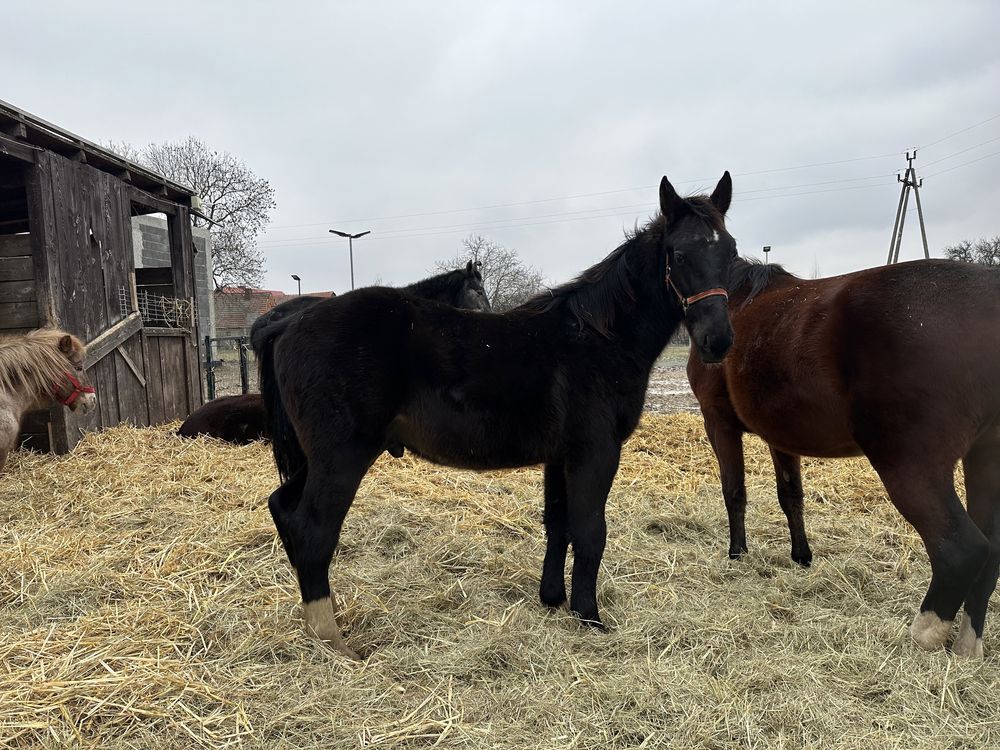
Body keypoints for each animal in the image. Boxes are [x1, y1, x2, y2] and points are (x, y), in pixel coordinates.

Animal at [262, 175, 740, 656]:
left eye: (732, 253)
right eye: (679, 255)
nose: (717, 341)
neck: (597, 339)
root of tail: (290, 323)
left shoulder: (560, 457)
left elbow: (559, 525)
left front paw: (553, 599)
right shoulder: (595, 453)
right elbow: (590, 532)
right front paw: (589, 616)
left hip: (320, 458)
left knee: (283, 508)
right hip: (342, 457)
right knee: (313, 529)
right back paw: (331, 639)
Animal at [688, 262, 1000, 660]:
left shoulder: (718, 422)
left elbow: (734, 493)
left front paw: (737, 554)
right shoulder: (782, 437)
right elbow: (791, 497)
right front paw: (801, 557)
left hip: (912, 467)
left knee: (962, 548)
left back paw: (923, 634)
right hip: (986, 458)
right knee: (991, 551)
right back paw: (967, 646)